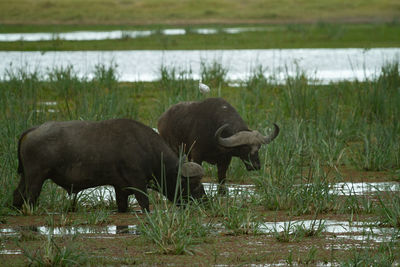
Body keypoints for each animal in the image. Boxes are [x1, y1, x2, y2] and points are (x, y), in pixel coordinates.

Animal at [12, 119, 206, 214]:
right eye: (195, 184)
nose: (204, 202)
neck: (146, 147)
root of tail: (32, 130)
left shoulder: (120, 188)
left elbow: (122, 206)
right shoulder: (138, 183)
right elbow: (145, 203)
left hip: (26, 177)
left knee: (17, 194)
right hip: (36, 178)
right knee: (31, 198)